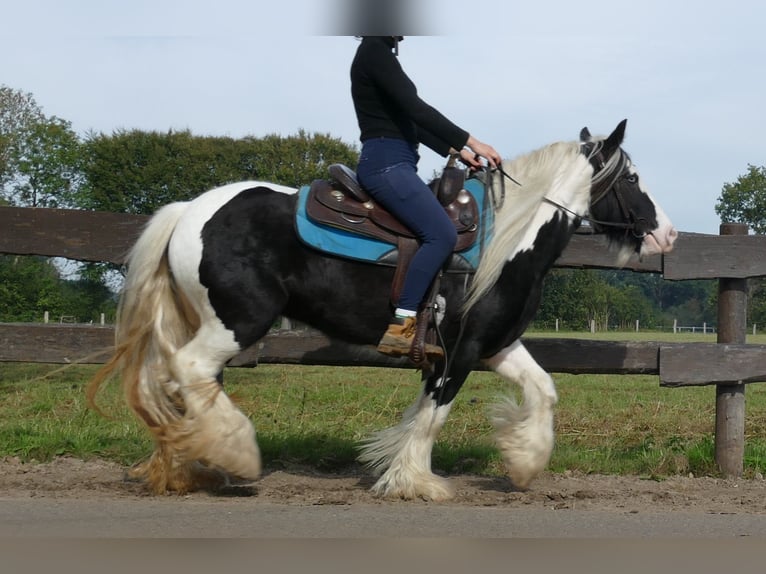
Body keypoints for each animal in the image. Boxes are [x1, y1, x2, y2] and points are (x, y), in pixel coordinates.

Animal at [88, 120, 680, 500]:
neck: (510, 240)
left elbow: (543, 390)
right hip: (235, 324)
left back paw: (184, 467)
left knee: (177, 383)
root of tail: (191, 209)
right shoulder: (460, 350)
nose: (668, 235)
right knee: (188, 372)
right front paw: (414, 481)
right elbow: (433, 415)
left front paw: (525, 462)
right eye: (632, 179)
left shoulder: (495, 345)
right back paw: (236, 454)